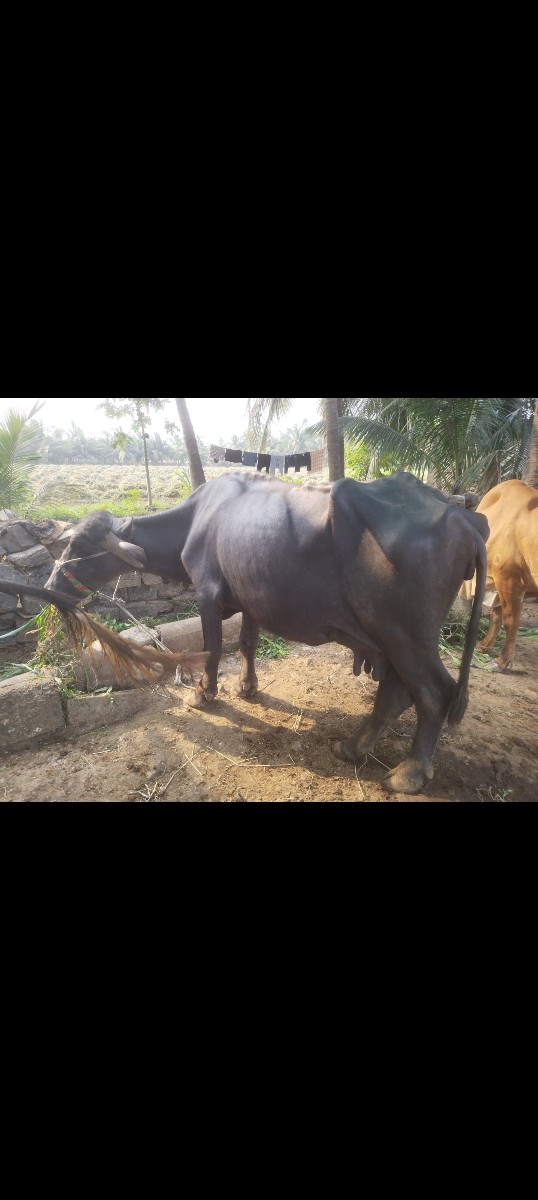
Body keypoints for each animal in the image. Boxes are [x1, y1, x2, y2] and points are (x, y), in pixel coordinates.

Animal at [2, 472, 488, 794]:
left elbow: (213, 648)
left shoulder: (208, 593)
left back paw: (408, 773)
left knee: (433, 693)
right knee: (396, 692)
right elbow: (248, 644)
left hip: (405, 635)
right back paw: (352, 747)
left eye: (79, 546)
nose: (50, 586)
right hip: (390, 639)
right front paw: (248, 687)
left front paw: (204, 693)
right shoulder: (251, 599)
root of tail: (464, 520)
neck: (198, 519)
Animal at [473, 479, 538, 670]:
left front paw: (503, 661)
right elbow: (496, 616)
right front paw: (484, 645)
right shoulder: (498, 584)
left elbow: (510, 620)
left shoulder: (510, 577)